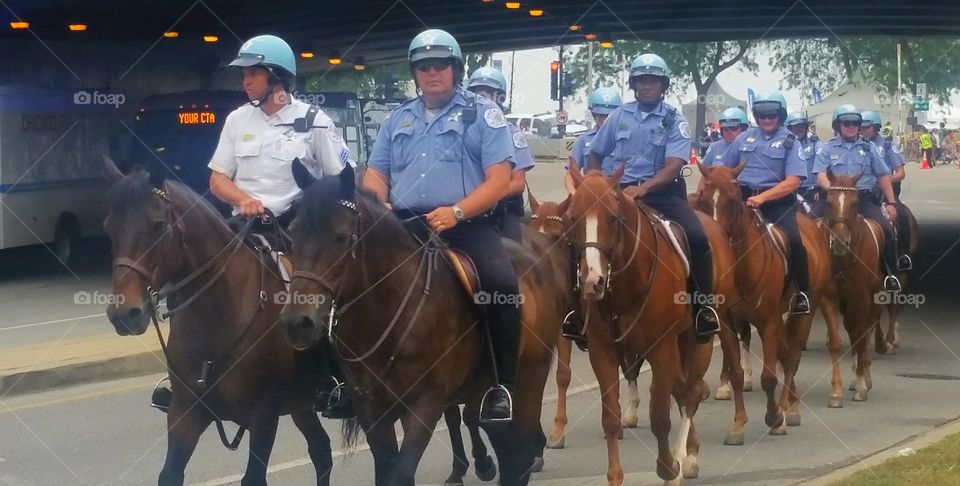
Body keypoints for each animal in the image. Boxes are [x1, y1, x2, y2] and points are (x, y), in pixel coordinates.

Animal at [101, 158, 334, 484]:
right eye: (109, 228)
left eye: (158, 226)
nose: (124, 314)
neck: (218, 318)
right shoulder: (185, 413)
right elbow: (170, 473)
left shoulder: (263, 417)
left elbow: (253, 477)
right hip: (301, 403)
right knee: (321, 450)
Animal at [278, 164, 564, 486]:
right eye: (292, 233)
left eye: (340, 236)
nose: (297, 322)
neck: (386, 311)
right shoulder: (371, 411)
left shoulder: (423, 406)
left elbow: (401, 474)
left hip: (531, 377)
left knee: (522, 449)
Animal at [568, 165, 716, 484]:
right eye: (572, 217)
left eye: (613, 218)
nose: (592, 281)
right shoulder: (602, 351)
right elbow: (610, 418)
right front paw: (615, 476)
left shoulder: (660, 347)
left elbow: (660, 416)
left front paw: (669, 468)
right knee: (681, 390)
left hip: (698, 341)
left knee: (690, 393)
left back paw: (685, 458)